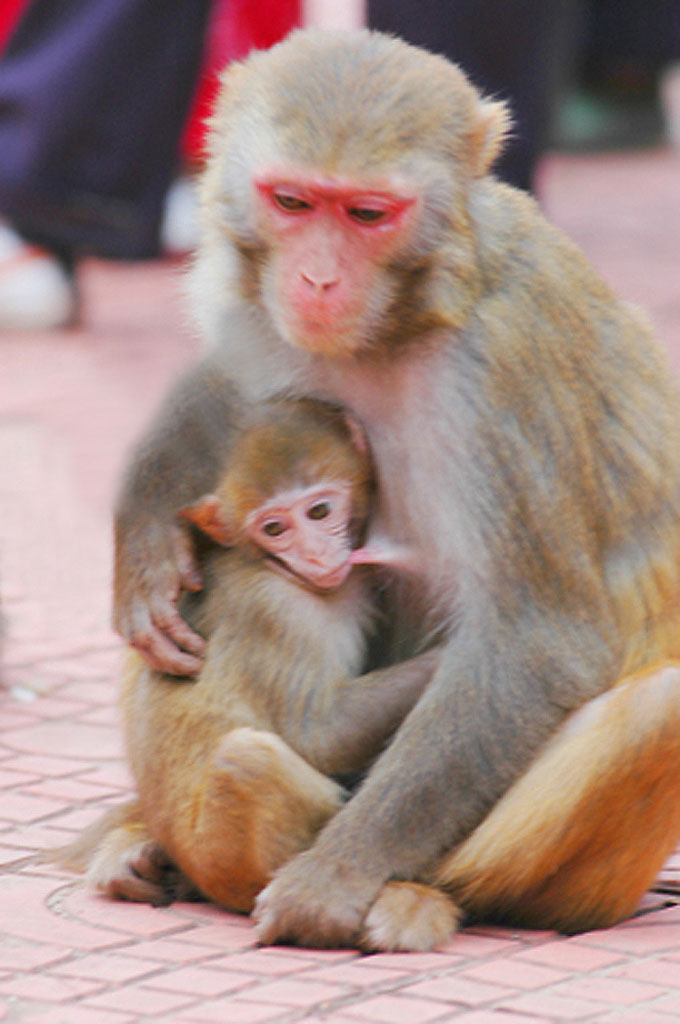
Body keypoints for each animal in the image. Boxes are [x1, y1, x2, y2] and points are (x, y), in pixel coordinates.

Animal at [63, 395, 436, 925]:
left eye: (319, 511)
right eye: (274, 528)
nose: (315, 554)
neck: (269, 564)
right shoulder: (280, 613)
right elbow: (320, 731)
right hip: (232, 857)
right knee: (245, 758)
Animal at [114, 28, 680, 946]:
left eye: (368, 214)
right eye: (293, 202)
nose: (316, 280)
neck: (403, 321)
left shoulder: (505, 363)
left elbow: (539, 635)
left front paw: (336, 877)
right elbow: (224, 393)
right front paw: (147, 530)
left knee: (659, 704)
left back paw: (430, 894)